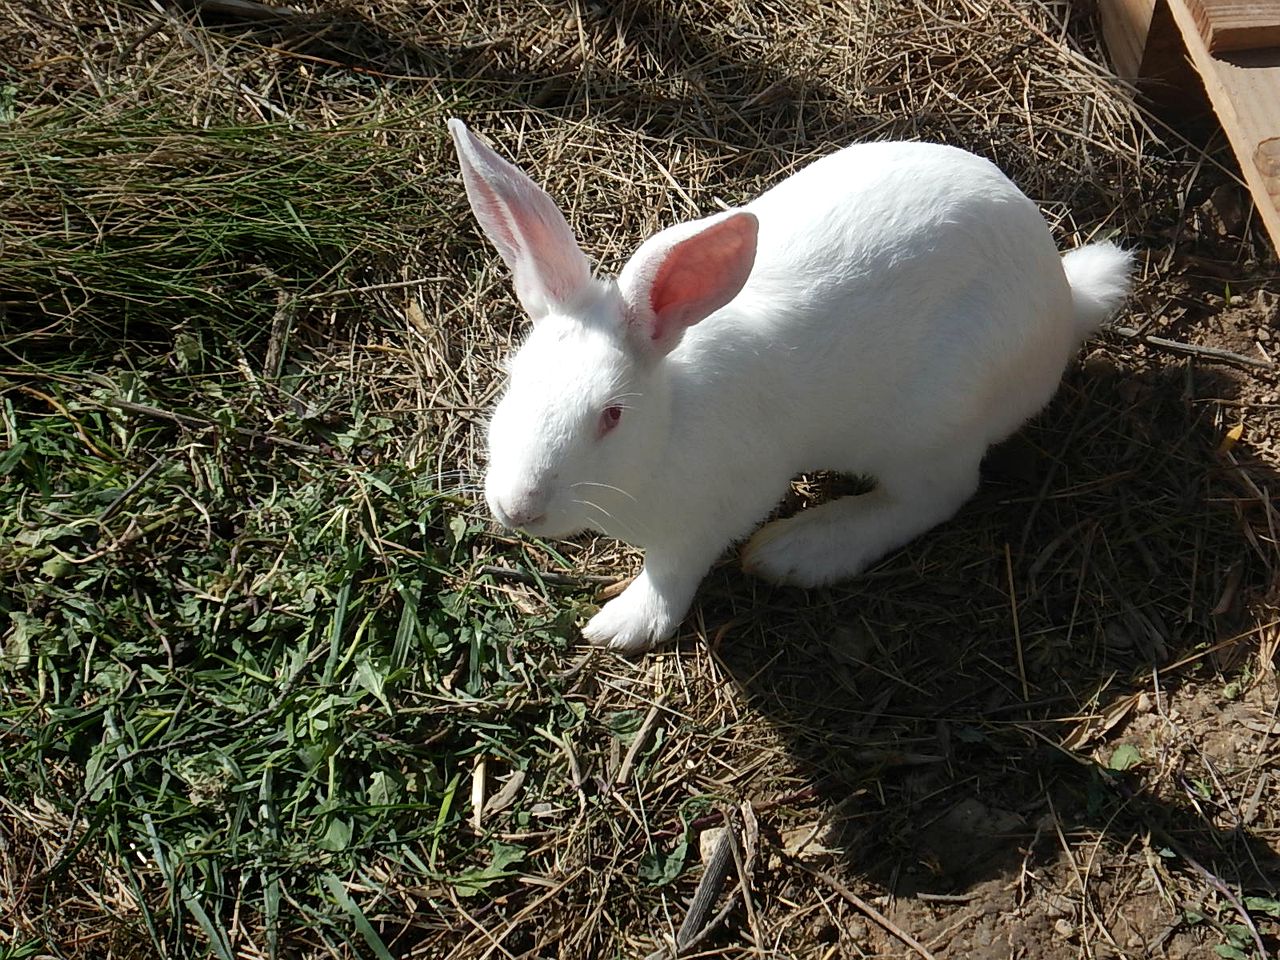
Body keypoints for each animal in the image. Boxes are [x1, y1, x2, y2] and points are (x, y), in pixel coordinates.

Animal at [450, 118, 1131, 655]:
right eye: (513, 380)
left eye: (611, 414)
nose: (519, 509)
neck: (669, 423)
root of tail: (1064, 301)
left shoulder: (719, 509)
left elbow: (673, 569)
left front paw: (624, 625)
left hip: (932, 424)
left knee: (935, 496)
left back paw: (797, 551)